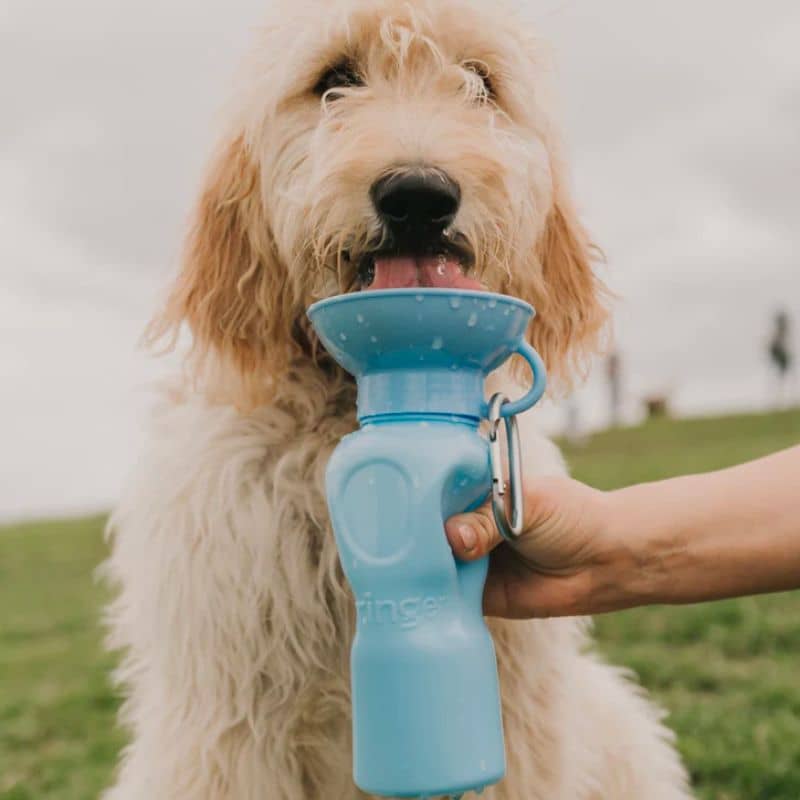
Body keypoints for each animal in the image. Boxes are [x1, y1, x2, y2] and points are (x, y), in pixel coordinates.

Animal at [103, 1, 692, 800]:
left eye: (479, 81)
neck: (347, 408)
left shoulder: (520, 706)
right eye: (334, 77)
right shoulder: (228, 722)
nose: (418, 195)